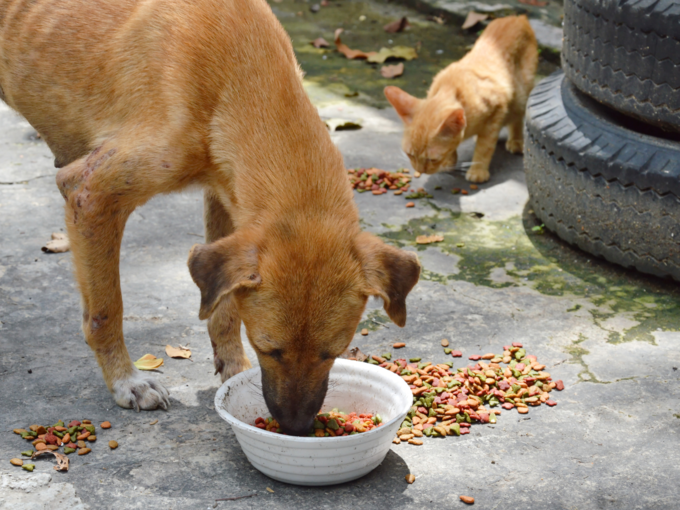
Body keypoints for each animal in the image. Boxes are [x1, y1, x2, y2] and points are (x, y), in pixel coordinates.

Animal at [1, 0, 420, 434]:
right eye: (269, 348)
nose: (296, 427)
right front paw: (126, 382)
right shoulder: (91, 195)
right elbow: (105, 310)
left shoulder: (227, 196)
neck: (243, 76)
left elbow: (224, 310)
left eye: (333, 352)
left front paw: (234, 371)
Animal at [382, 15, 536, 183]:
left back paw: (516, 140)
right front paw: (450, 160)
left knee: (518, 116)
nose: (420, 171)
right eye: (410, 154)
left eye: (432, 159)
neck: (450, 89)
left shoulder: (497, 109)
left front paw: (478, 170)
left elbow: (485, 146)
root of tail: (517, 18)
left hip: (521, 95)